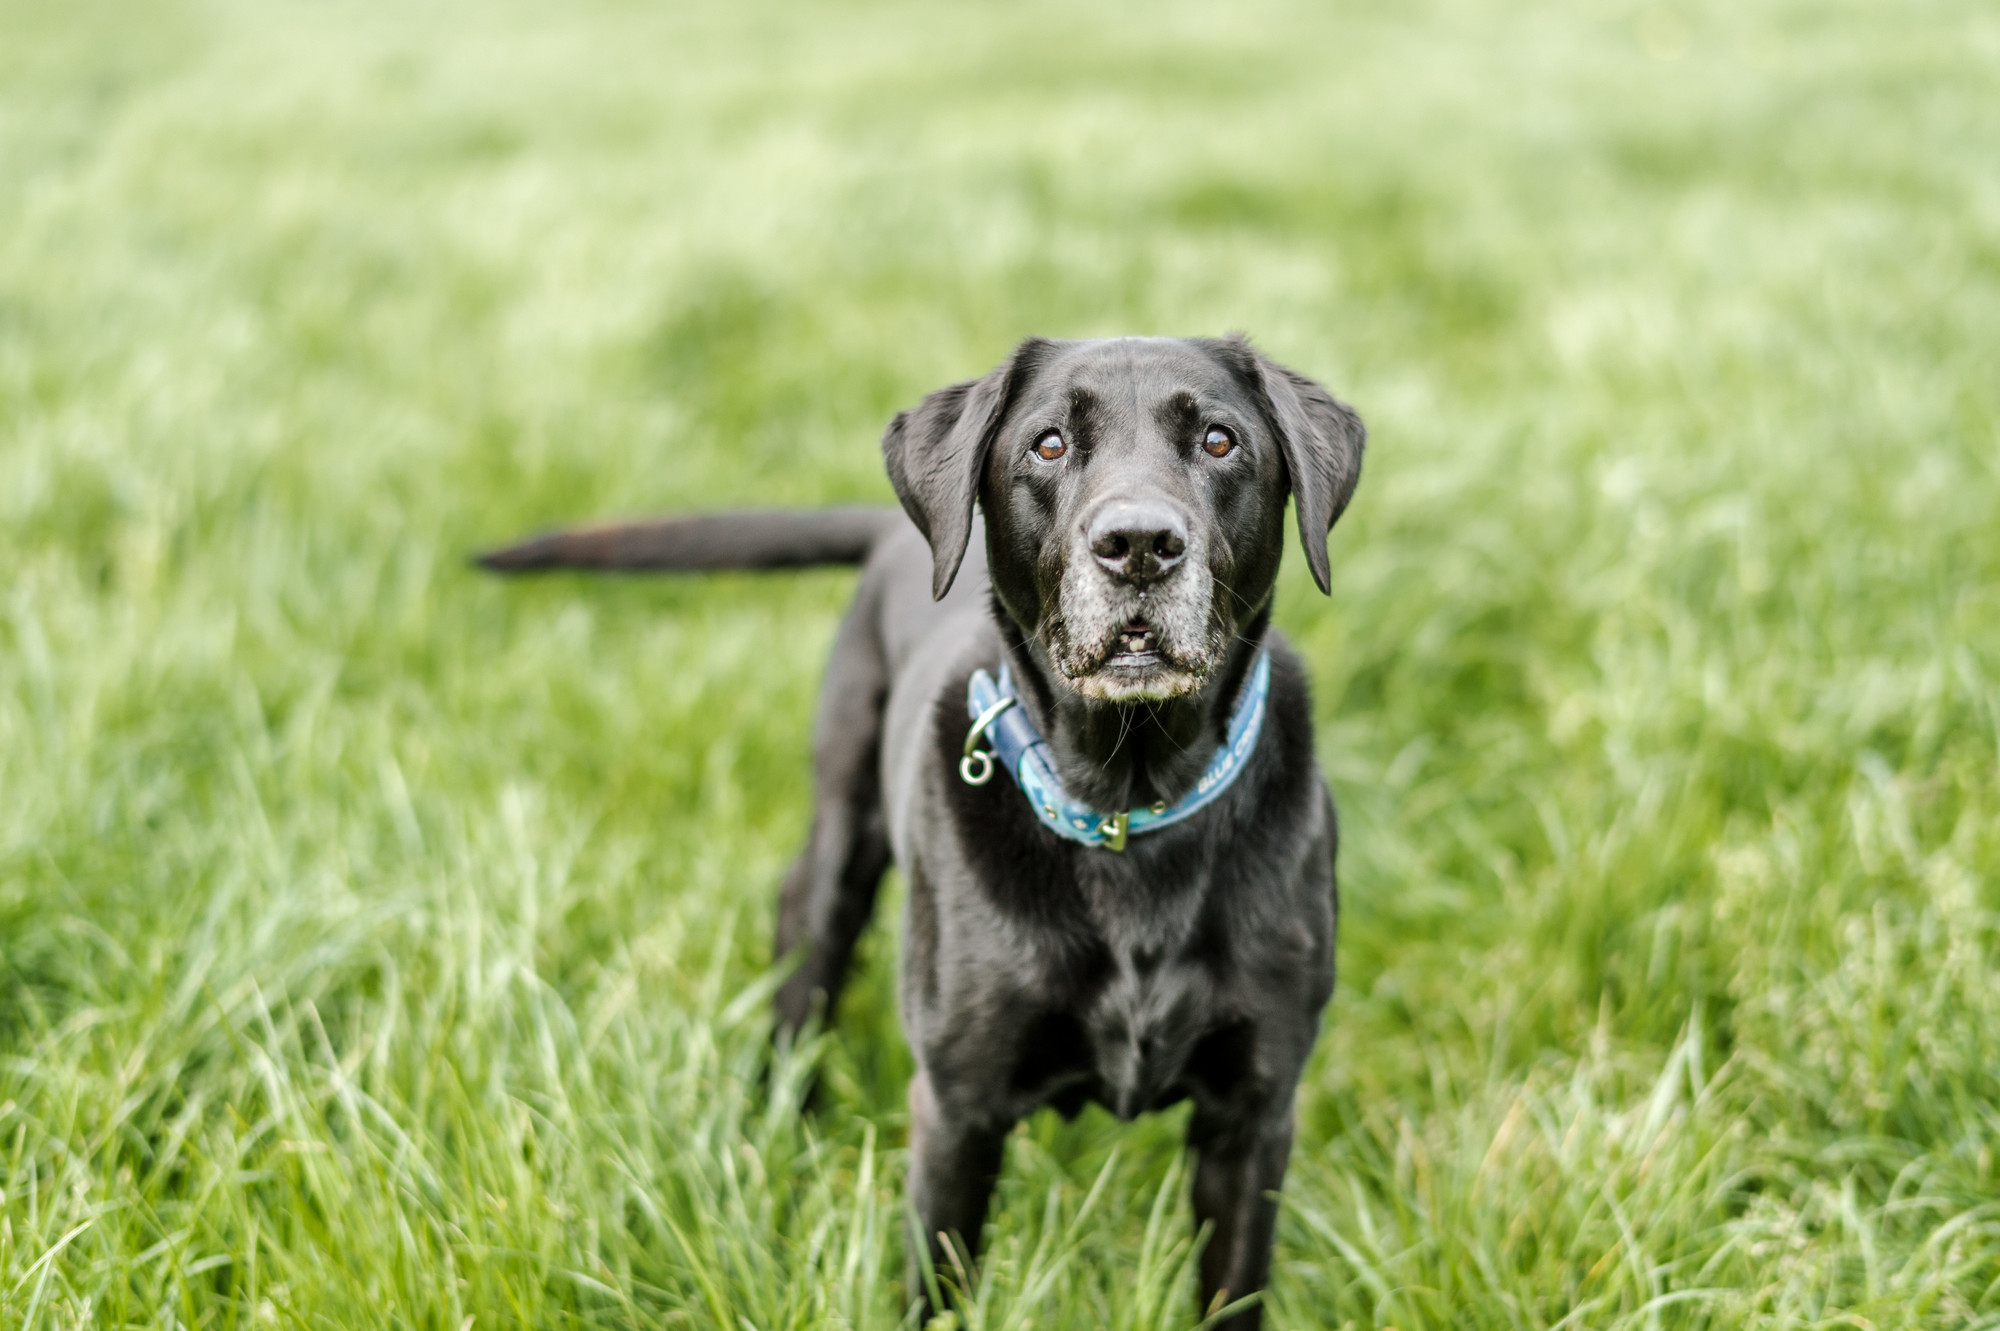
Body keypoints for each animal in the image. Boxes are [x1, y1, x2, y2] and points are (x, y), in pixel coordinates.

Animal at [478, 331, 1368, 1319]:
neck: (1127, 804)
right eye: (1048, 444)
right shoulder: (957, 1111)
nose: (1139, 544)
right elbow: (936, 1285)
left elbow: (1233, 1285)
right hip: (835, 855)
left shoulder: (1253, 1115)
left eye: (1219, 440)